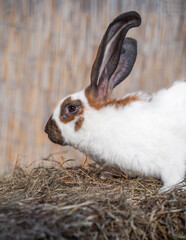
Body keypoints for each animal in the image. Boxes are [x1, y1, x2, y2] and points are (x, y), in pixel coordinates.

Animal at [44, 11, 185, 193]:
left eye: (71, 107)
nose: (47, 130)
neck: (103, 123)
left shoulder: (171, 162)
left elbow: (172, 178)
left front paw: (165, 191)